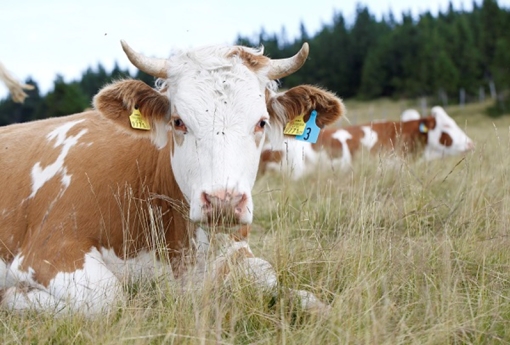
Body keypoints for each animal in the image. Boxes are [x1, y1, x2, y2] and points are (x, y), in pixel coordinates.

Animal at [0, 41, 344, 314]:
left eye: (261, 122)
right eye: (178, 121)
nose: (223, 201)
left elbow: (267, 274)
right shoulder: (48, 250)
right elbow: (106, 297)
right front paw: (13, 296)